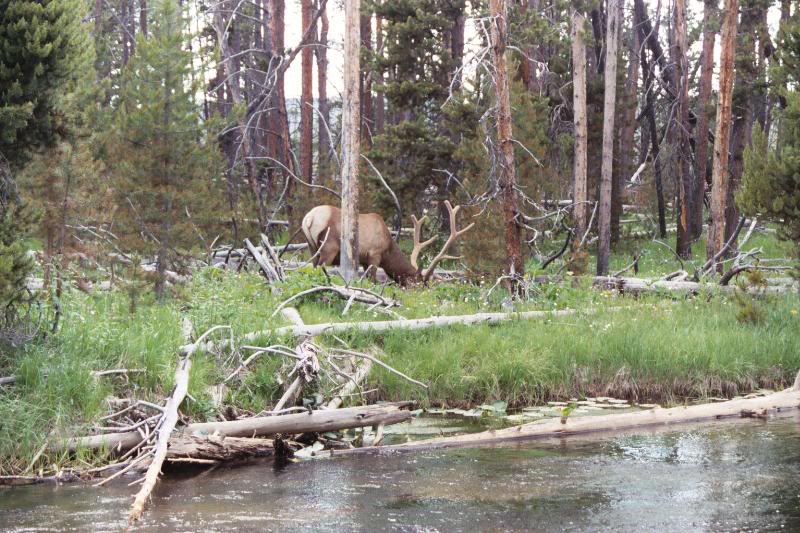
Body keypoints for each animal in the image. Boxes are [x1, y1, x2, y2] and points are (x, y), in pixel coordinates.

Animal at [301, 201, 475, 286]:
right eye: (419, 282)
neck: (389, 250)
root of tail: (309, 218)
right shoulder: (374, 254)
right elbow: (372, 279)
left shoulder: (364, 260)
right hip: (329, 247)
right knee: (320, 267)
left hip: (311, 247)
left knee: (312, 266)